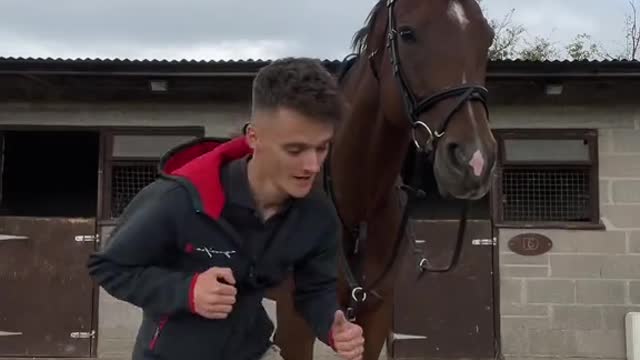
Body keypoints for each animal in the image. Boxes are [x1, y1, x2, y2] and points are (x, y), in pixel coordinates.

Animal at [268, 0, 498, 360]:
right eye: (407, 34)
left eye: (486, 37)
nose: (475, 160)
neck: (355, 210)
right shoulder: (295, 329)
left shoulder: (373, 321)